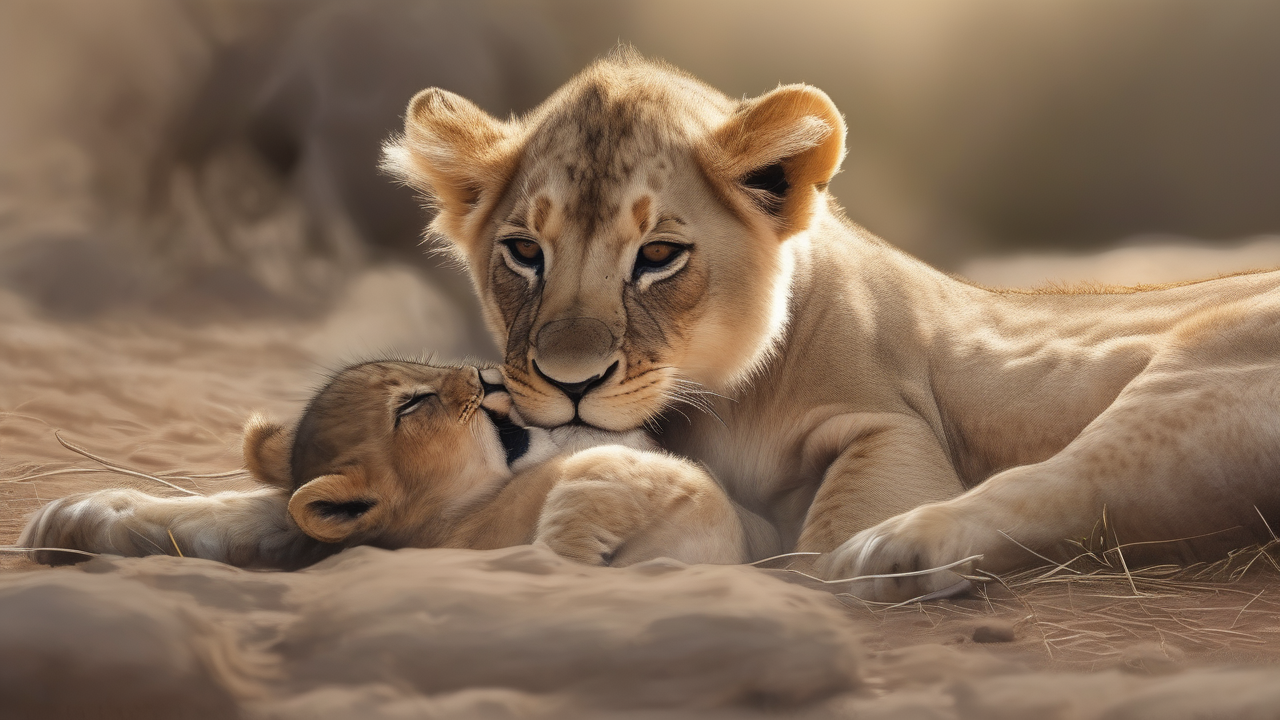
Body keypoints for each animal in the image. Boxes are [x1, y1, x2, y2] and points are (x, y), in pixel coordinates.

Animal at [382, 47, 1280, 600]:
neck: (720, 401)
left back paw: (893, 556)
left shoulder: (897, 429)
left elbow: (833, 511)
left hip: (1197, 382)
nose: (571, 384)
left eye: (660, 255)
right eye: (524, 252)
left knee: (1055, 482)